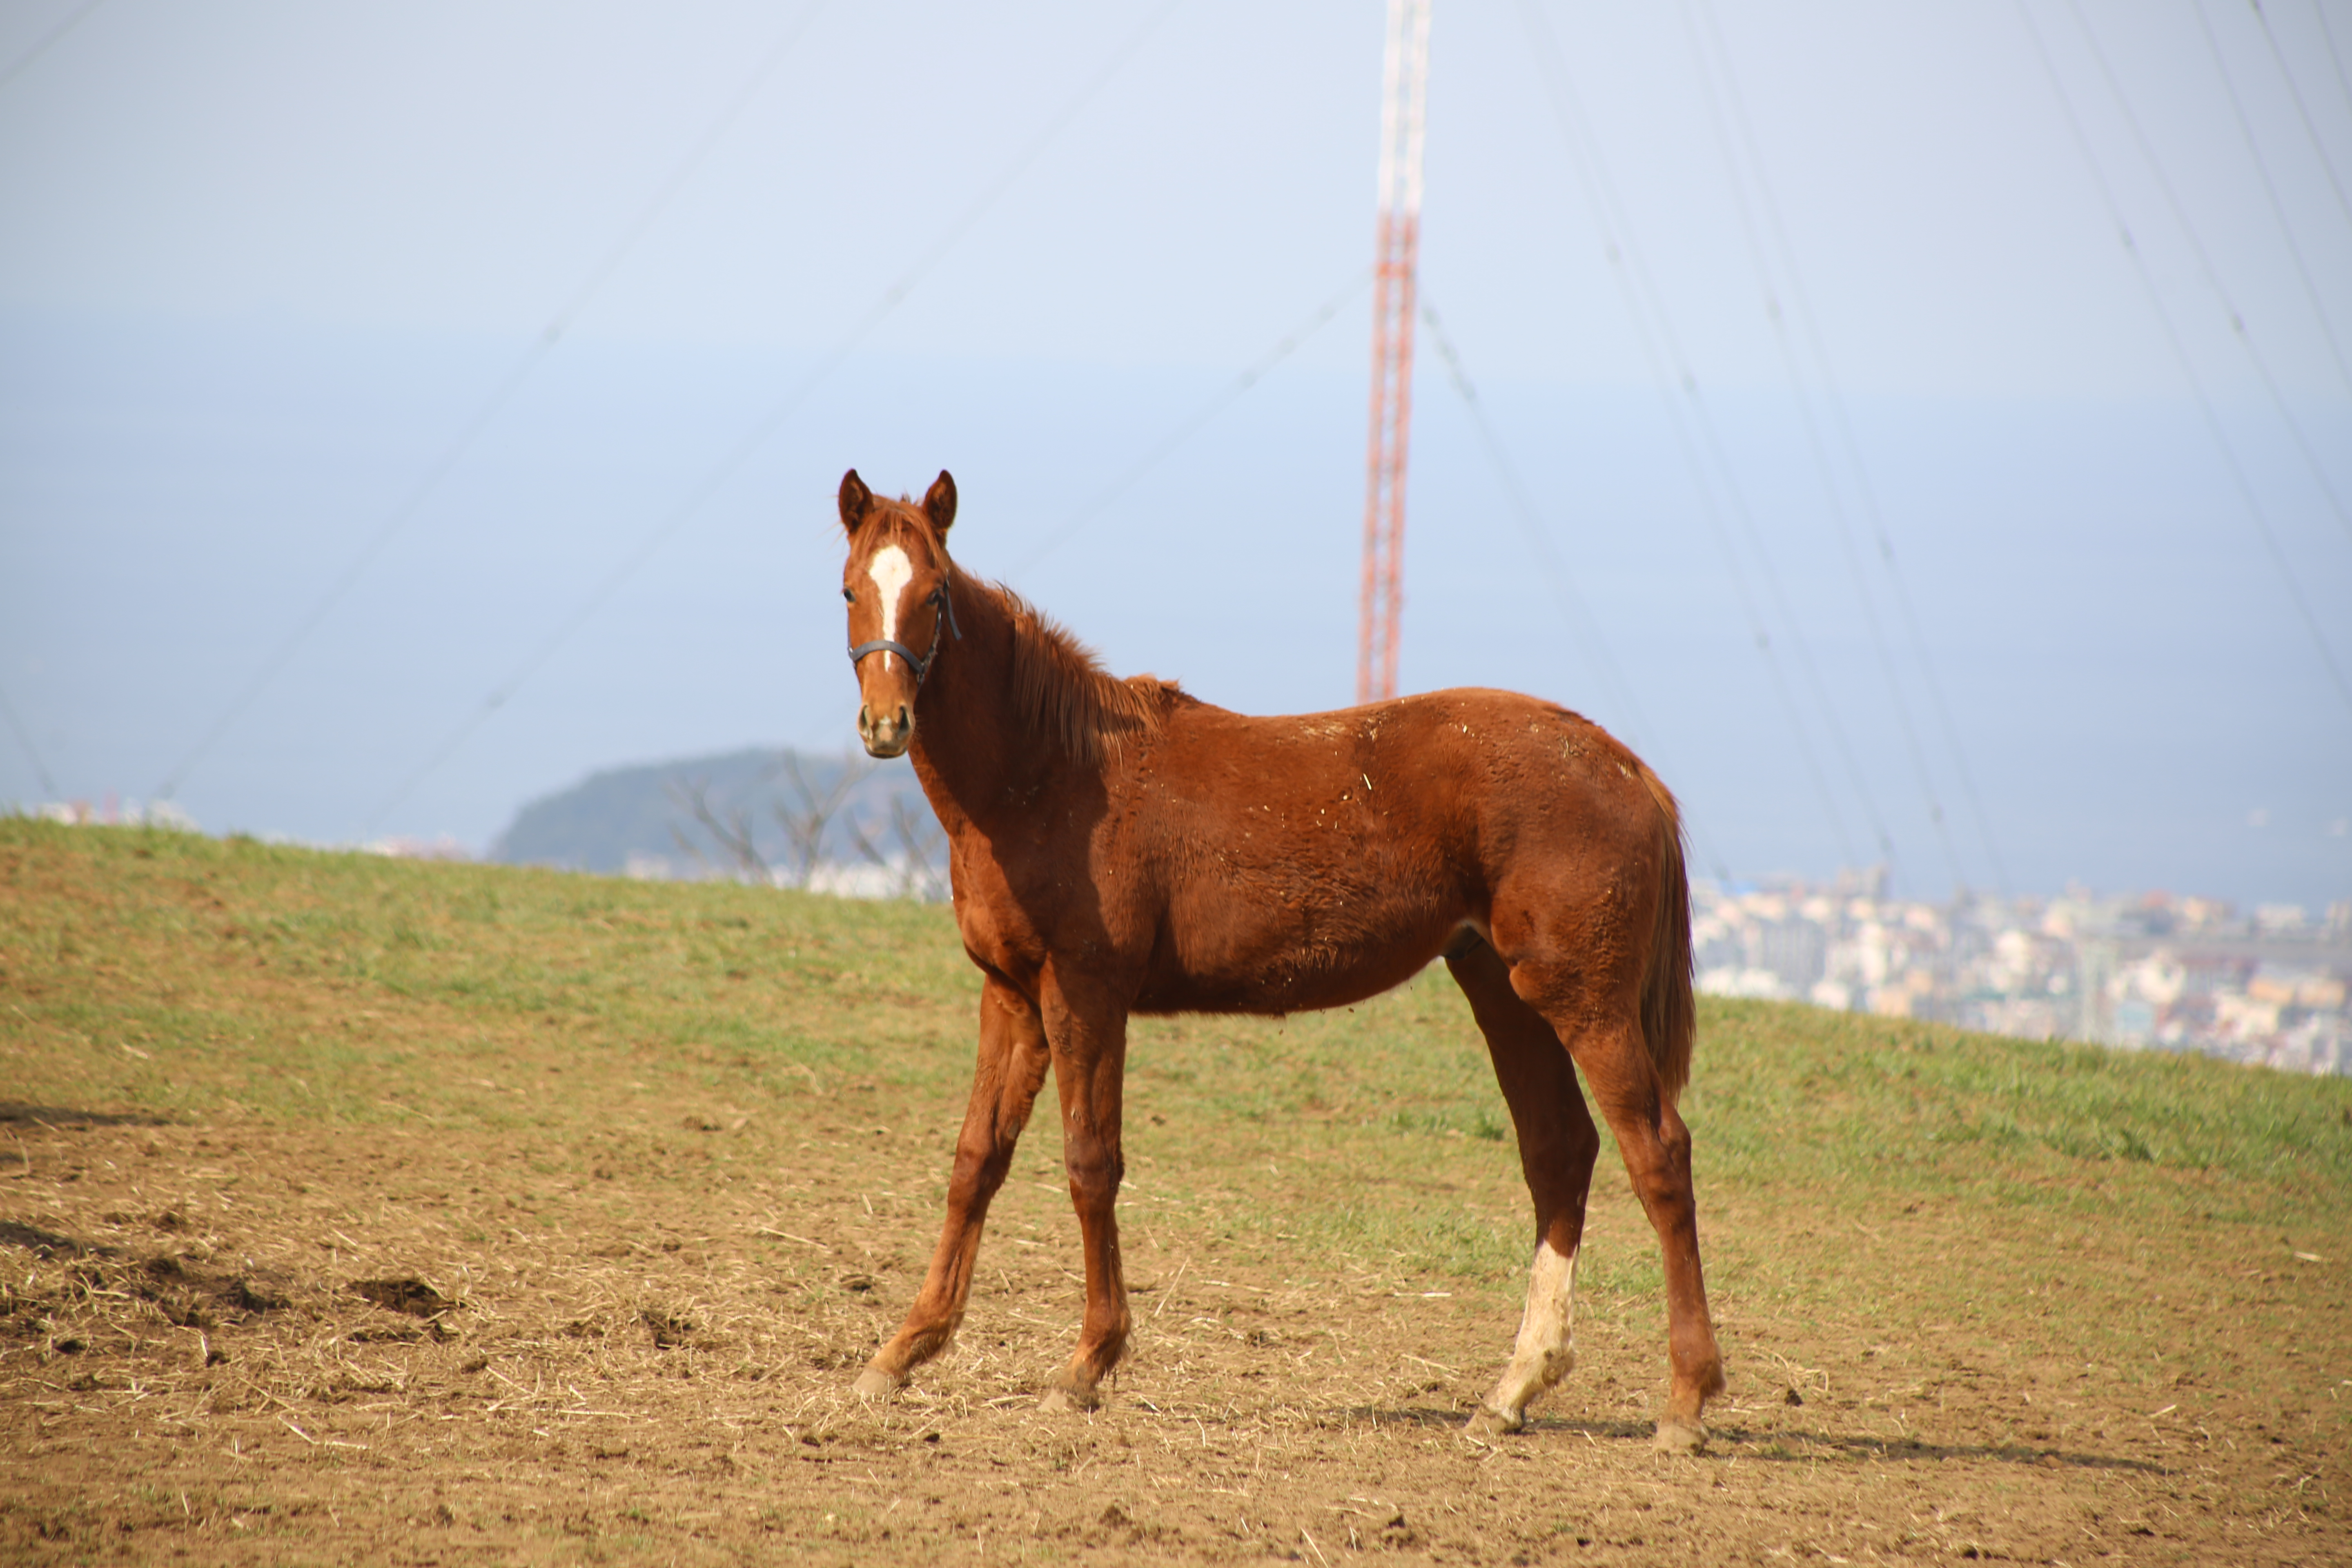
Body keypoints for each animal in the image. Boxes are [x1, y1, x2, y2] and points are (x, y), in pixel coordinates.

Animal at [837, 472, 1722, 1457]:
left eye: (934, 596)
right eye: (851, 591)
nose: (886, 723)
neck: (1051, 773)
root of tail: (1628, 769)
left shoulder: (1086, 996)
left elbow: (1090, 1165)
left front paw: (1086, 1366)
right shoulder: (1013, 997)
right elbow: (975, 1161)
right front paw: (902, 1351)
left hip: (1586, 1001)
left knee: (1658, 1156)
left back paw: (1684, 1402)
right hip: (1506, 993)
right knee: (1560, 1154)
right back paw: (1514, 1389)